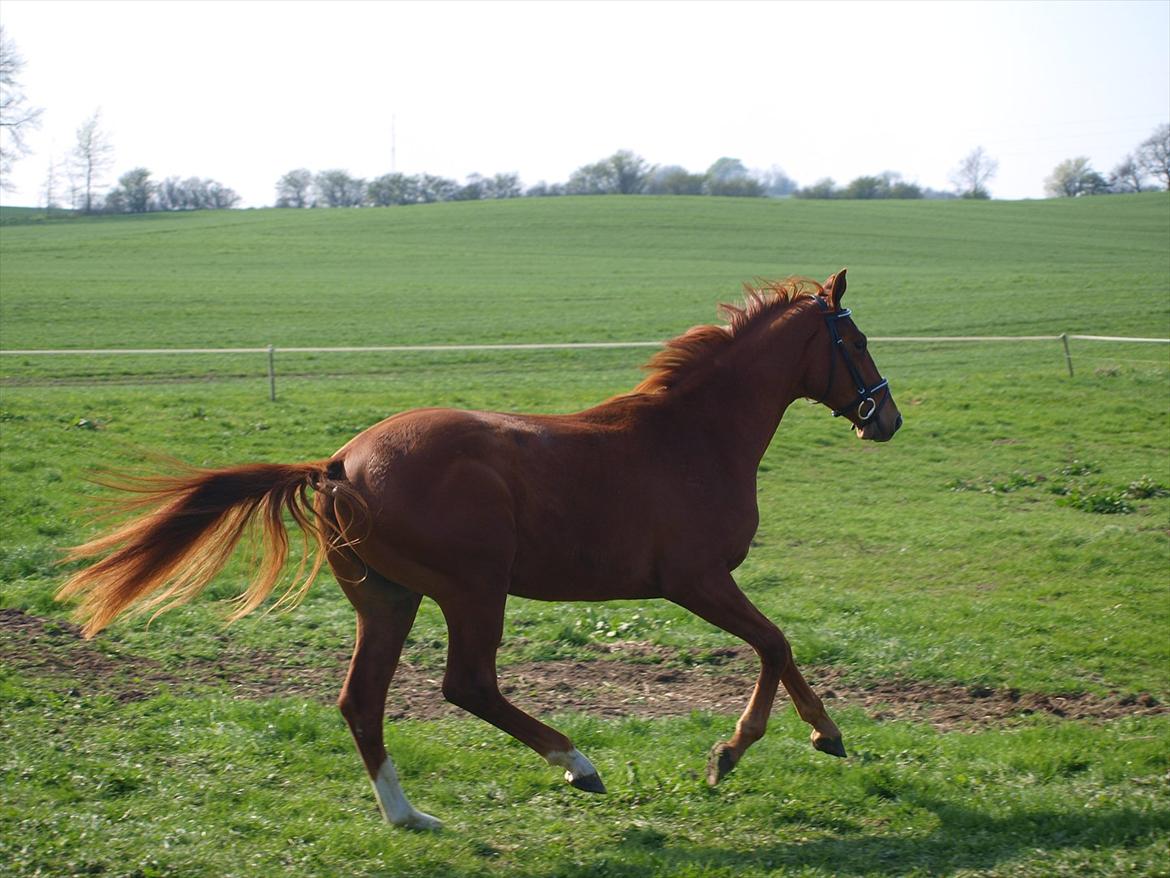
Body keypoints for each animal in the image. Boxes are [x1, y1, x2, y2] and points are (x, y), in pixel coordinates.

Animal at [54, 268, 903, 833]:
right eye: (856, 340)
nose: (885, 417)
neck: (693, 437)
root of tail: (338, 464)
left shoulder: (703, 582)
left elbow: (776, 645)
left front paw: (815, 736)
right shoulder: (694, 579)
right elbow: (773, 642)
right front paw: (745, 751)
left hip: (388, 598)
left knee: (361, 700)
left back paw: (409, 816)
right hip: (473, 587)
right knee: (466, 684)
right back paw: (577, 764)